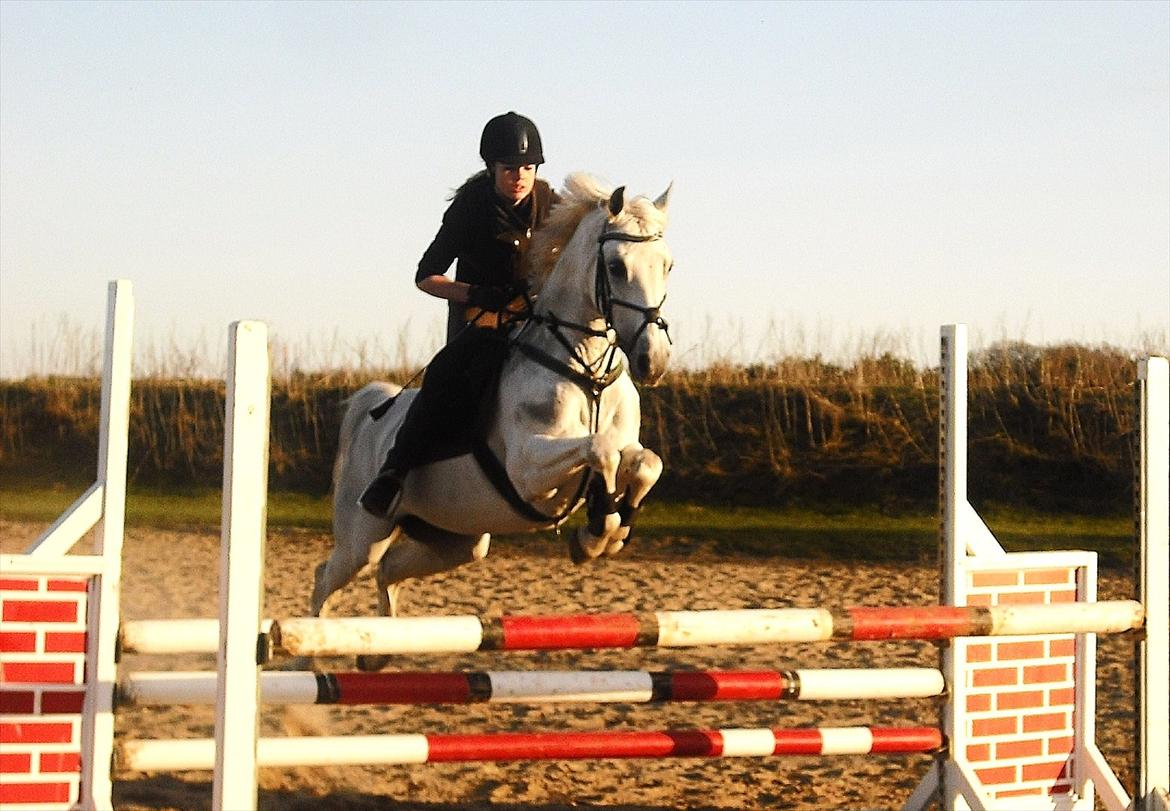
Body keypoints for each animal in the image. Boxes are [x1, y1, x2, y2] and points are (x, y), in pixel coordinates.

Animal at [312, 173, 674, 670]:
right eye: (617, 267)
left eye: (668, 266)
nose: (652, 362)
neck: (585, 369)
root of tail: (373, 415)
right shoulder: (528, 469)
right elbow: (600, 451)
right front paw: (596, 531)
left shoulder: (625, 446)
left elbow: (643, 463)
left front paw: (610, 530)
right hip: (362, 536)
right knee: (327, 577)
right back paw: (304, 661)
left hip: (458, 540)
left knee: (387, 570)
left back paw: (376, 654)